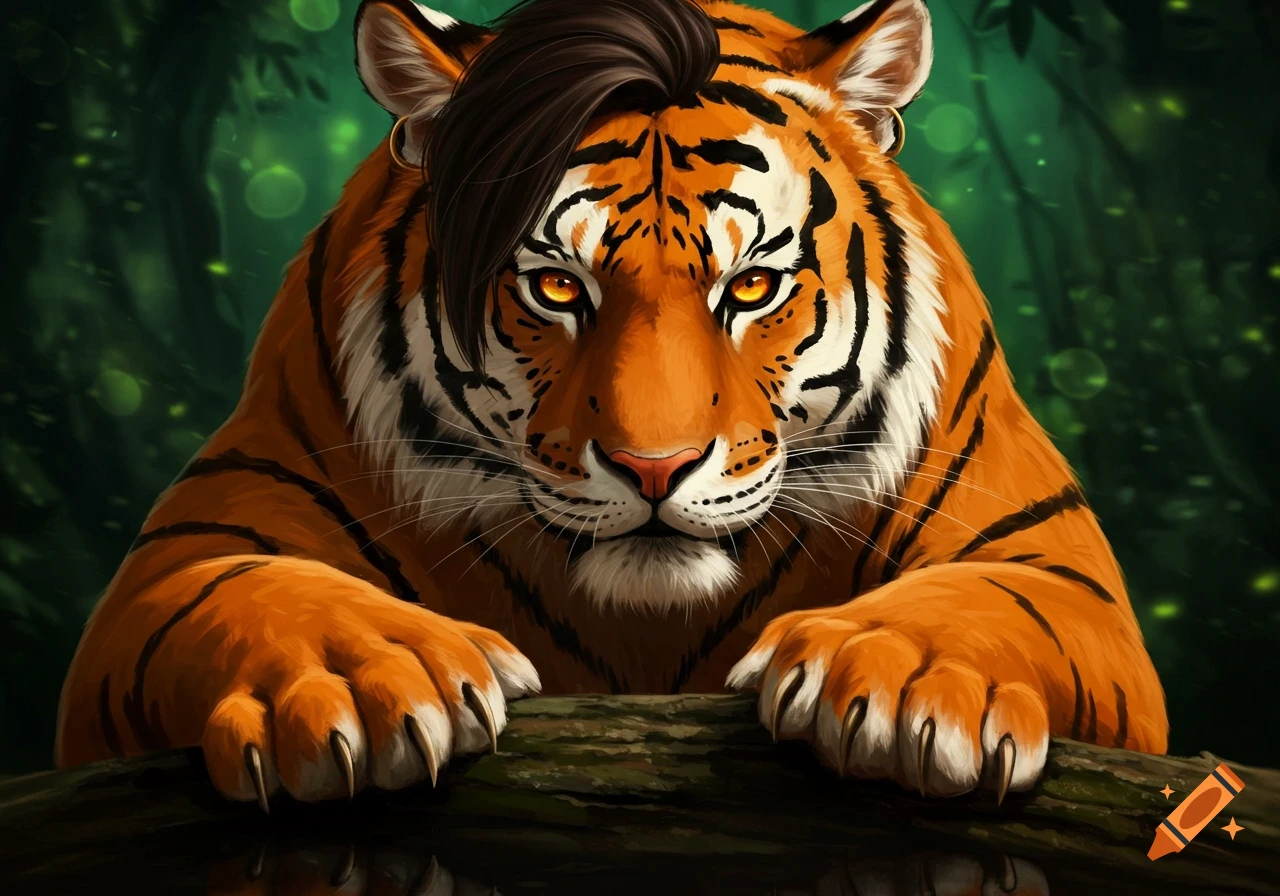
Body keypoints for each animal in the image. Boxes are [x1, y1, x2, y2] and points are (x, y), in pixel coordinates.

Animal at [55, 0, 1168, 810]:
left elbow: (990, 600)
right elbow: (254, 591)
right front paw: (360, 683)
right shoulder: (185, 552)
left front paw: (902, 682)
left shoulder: (1053, 562)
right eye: (555, 286)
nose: (652, 469)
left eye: (749, 287)